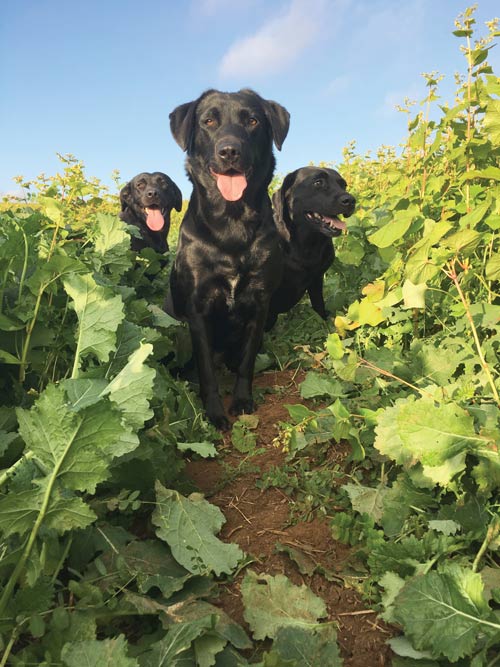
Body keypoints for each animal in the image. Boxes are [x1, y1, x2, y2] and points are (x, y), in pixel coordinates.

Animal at [167, 88, 290, 430]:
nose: (229, 151)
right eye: (209, 121)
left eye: (252, 121)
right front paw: (213, 413)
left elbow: (247, 362)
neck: (231, 222)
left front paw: (242, 400)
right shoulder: (197, 308)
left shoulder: (260, 303)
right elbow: (206, 370)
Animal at [266, 167, 356, 332]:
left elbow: (319, 306)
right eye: (318, 182)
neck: (306, 245)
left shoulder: (316, 280)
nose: (351, 200)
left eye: (343, 185)